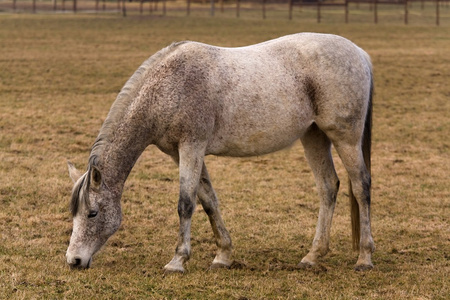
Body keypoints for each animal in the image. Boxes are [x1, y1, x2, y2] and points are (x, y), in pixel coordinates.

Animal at [67, 32, 374, 272]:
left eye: (93, 213)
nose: (74, 260)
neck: (169, 85)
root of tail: (359, 53)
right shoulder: (181, 153)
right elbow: (208, 201)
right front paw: (223, 255)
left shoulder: (192, 147)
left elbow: (186, 203)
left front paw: (177, 261)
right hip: (314, 136)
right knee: (328, 187)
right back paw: (312, 256)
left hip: (345, 138)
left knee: (361, 187)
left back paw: (364, 258)